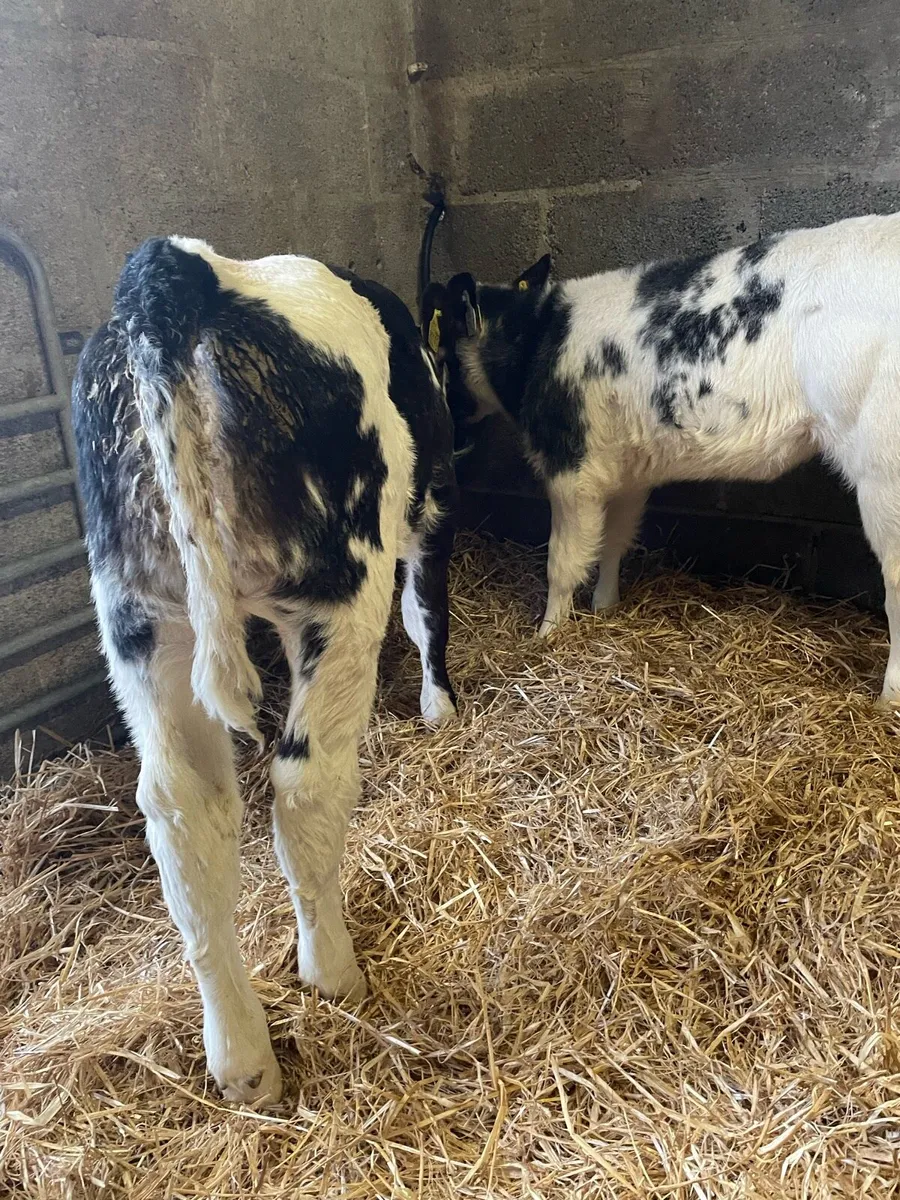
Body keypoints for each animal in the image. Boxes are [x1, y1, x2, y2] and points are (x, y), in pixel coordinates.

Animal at [72, 237, 458, 1105]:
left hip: (142, 614)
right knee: (306, 785)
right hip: (340, 582)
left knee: (184, 809)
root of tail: (178, 268)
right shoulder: (432, 512)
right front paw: (439, 705)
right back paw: (332, 973)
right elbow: (426, 610)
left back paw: (242, 1060)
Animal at [424, 211, 900, 705]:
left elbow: (562, 561)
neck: (537, 341)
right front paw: (605, 608)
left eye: (442, 352)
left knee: (896, 581)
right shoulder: (626, 472)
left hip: (883, 471)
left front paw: (548, 634)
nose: (450, 435)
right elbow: (613, 542)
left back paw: (888, 699)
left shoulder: (570, 469)